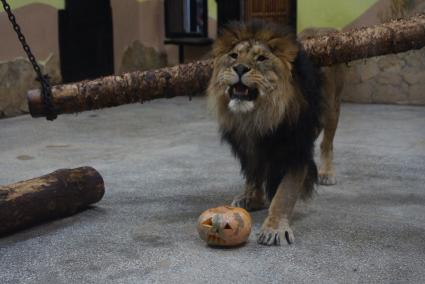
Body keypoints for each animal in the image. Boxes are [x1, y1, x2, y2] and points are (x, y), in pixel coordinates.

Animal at [205, 21, 342, 245]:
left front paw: (274, 228)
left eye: (261, 58)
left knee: (327, 143)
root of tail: (320, 28)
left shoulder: (296, 151)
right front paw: (251, 198)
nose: (240, 68)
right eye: (234, 55)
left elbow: (284, 194)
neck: (259, 117)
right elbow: (254, 175)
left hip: (332, 109)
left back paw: (327, 173)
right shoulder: (250, 148)